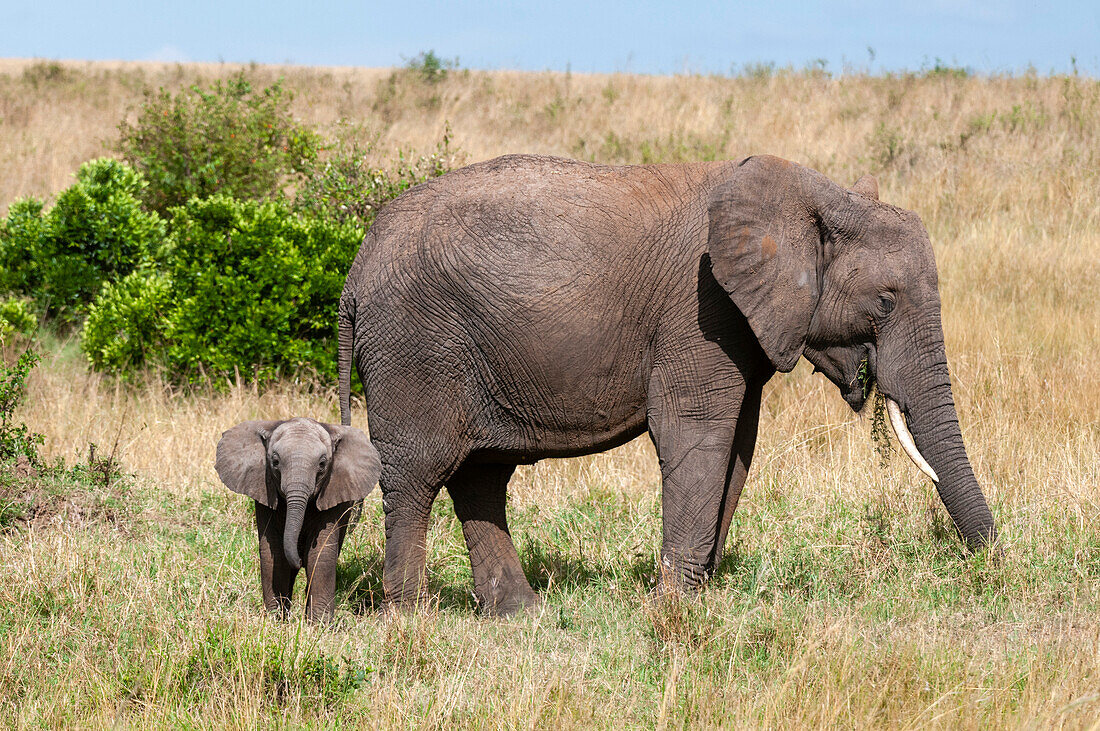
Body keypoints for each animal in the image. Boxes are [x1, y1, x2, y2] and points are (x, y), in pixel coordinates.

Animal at [214, 419, 382, 619]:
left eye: (322, 464)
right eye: (275, 462)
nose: (300, 560)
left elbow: (321, 554)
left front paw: (319, 624)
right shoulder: (265, 490)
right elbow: (274, 553)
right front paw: (275, 620)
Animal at [338, 154, 1003, 615]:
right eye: (885, 303)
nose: (991, 567)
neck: (812, 192)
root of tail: (355, 270)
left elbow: (738, 448)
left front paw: (697, 597)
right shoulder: (700, 308)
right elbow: (696, 437)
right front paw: (673, 608)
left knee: (480, 476)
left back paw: (521, 615)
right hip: (413, 345)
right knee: (419, 474)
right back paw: (411, 619)